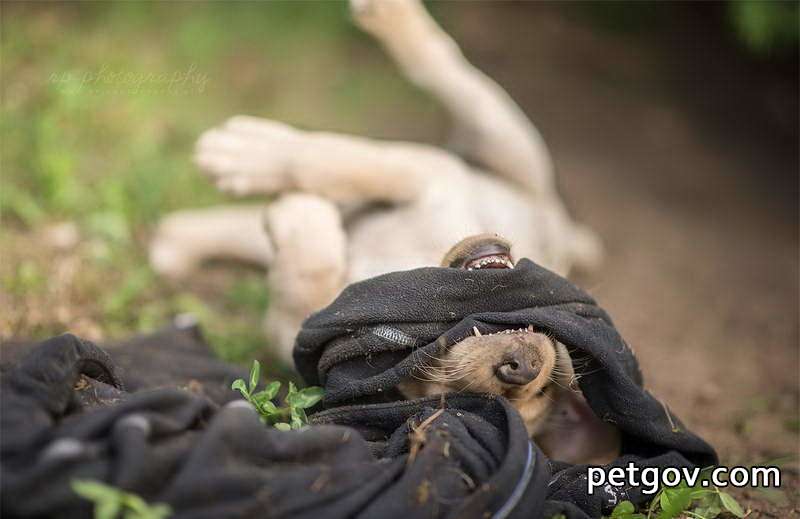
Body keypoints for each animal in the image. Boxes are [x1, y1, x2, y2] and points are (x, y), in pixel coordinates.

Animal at [148, 0, 600, 366]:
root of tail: (558, 221)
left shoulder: (293, 329)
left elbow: (307, 274)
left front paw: (295, 211)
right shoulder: (426, 172)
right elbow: (344, 162)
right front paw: (250, 152)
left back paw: (180, 241)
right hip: (504, 138)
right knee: (446, 67)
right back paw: (393, 16)